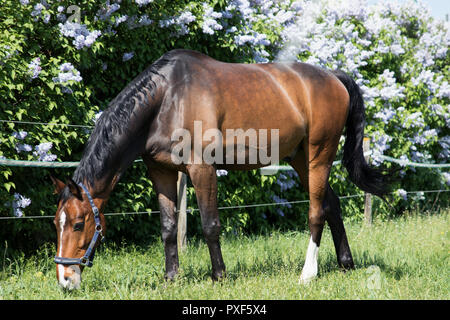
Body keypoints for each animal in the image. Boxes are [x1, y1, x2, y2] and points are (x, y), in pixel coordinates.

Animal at [49, 49, 388, 290]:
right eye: (56, 223)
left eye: (78, 224)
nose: (65, 279)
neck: (167, 97)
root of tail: (333, 76)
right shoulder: (161, 171)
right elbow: (168, 228)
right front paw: (171, 278)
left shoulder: (202, 169)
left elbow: (210, 224)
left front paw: (219, 275)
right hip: (300, 159)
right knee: (331, 204)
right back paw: (346, 264)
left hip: (319, 155)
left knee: (317, 211)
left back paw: (308, 274)